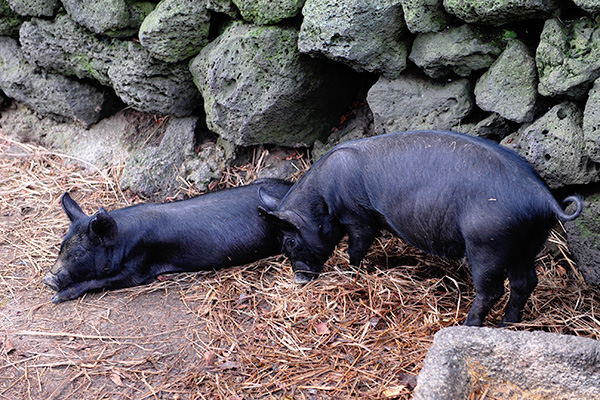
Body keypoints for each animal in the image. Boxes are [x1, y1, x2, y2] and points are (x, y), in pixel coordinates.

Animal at [43, 179, 292, 304]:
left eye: (80, 253)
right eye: (61, 246)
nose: (48, 279)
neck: (123, 239)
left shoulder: (139, 267)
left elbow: (100, 281)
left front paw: (56, 299)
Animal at [260, 130, 584, 326]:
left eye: (289, 242)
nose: (299, 280)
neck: (322, 199)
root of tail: (543, 198)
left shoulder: (357, 216)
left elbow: (357, 247)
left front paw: (352, 273)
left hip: (487, 243)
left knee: (492, 290)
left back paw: (466, 325)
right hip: (527, 244)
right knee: (525, 282)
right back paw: (508, 323)